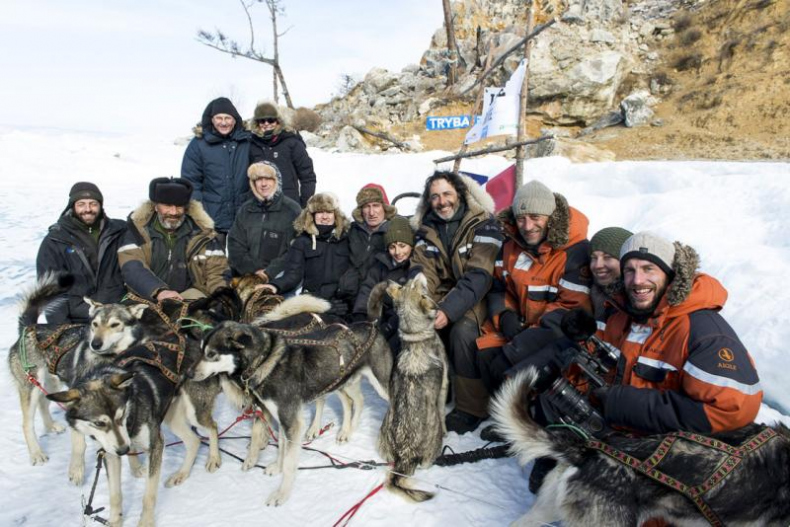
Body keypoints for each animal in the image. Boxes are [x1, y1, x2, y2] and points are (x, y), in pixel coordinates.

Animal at [7, 276, 148, 470]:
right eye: (95, 324)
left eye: (114, 325)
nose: (95, 344)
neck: (110, 358)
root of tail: (28, 327)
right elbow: (80, 442)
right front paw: (77, 470)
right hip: (31, 385)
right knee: (27, 424)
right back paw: (36, 454)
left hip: (52, 382)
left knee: (44, 402)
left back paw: (51, 426)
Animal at [374, 276, 448, 504]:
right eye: (415, 286)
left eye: (401, 286)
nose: (389, 280)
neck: (415, 337)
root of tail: (404, 456)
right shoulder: (445, 386)